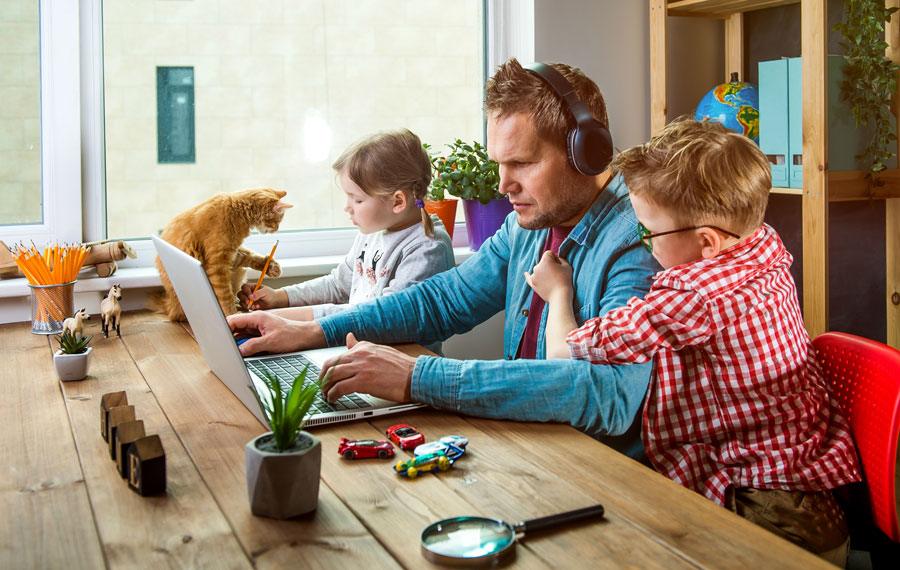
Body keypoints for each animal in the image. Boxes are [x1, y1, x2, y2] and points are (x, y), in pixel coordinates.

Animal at [155, 187, 292, 318]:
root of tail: (170, 307)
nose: (277, 229)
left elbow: (251, 257)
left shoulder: (233, 254)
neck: (237, 212)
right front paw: (232, 314)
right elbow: (225, 295)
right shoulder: (218, 264)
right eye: (277, 221)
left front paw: (271, 267)